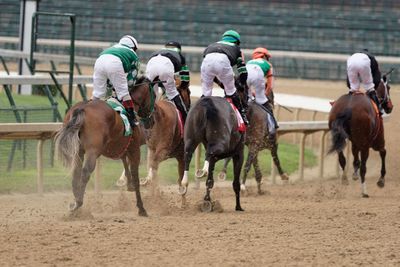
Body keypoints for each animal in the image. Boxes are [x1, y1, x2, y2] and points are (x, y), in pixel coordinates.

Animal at [55, 76, 155, 217]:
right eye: (154, 95)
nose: (151, 121)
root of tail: (83, 108)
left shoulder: (122, 146)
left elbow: (125, 163)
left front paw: (128, 184)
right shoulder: (135, 148)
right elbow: (135, 176)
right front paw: (141, 208)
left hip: (78, 150)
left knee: (76, 172)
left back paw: (75, 203)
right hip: (92, 151)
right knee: (85, 172)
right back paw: (78, 203)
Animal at [328, 71, 394, 199]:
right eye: (388, 87)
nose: (390, 107)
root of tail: (349, 107)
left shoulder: (355, 141)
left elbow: (354, 156)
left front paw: (354, 173)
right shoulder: (377, 140)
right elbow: (383, 152)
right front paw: (381, 180)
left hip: (339, 136)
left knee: (342, 158)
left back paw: (345, 179)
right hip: (366, 144)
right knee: (364, 167)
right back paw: (364, 191)